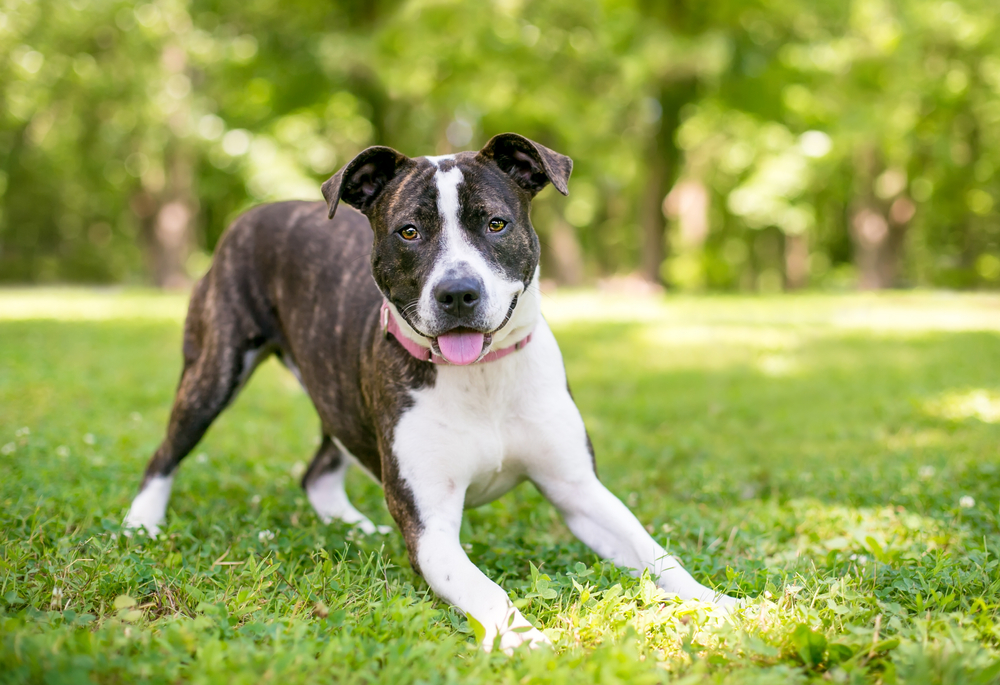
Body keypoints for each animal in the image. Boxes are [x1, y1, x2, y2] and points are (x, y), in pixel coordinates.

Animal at [123, 135, 736, 652]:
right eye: (409, 232)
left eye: (496, 223)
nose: (458, 292)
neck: (482, 376)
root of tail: (258, 212)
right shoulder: (431, 531)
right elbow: (489, 590)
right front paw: (525, 640)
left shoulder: (578, 490)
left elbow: (655, 553)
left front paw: (722, 605)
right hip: (214, 371)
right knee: (166, 452)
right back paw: (142, 524)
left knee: (319, 469)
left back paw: (353, 525)